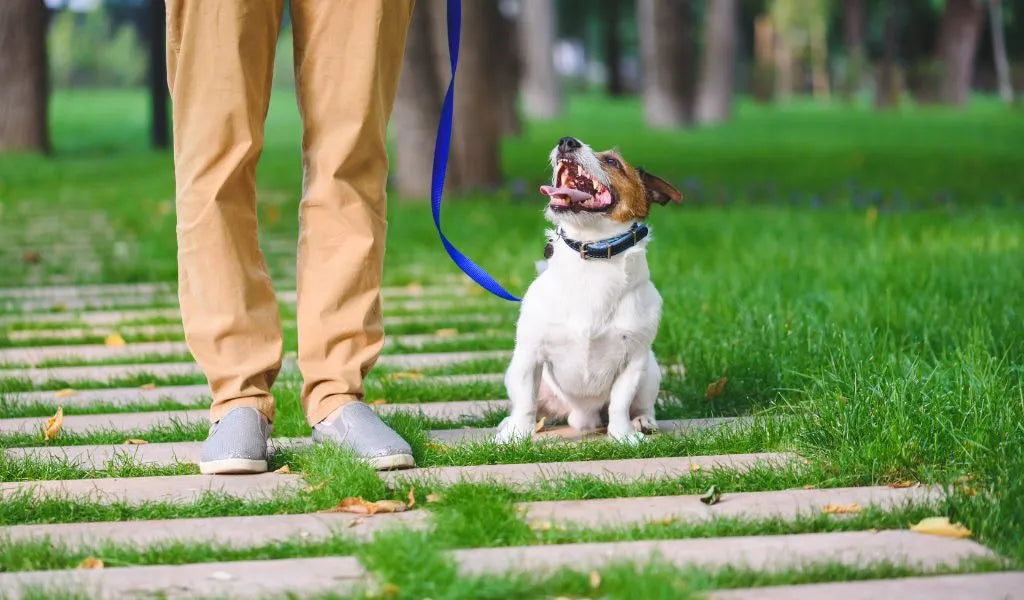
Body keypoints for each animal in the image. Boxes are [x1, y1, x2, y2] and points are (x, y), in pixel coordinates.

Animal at [493, 136, 679, 444]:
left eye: (613, 162)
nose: (567, 141)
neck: (592, 254)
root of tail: (581, 417)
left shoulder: (634, 360)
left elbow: (620, 403)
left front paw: (623, 435)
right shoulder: (529, 355)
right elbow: (525, 402)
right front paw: (515, 436)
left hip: (650, 370)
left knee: (642, 404)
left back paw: (643, 421)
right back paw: (510, 424)